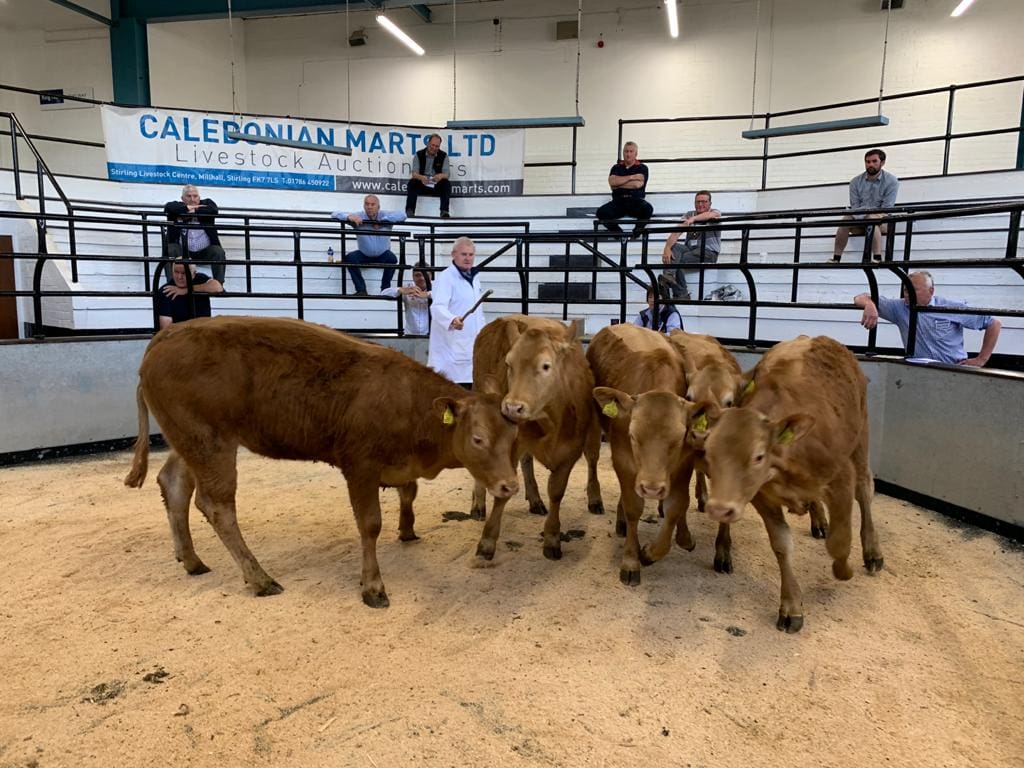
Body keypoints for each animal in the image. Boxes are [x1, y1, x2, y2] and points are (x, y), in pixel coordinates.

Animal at [124, 316, 519, 608]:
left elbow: (408, 492)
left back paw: (191, 560)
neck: (407, 400)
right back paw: (259, 578)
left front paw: (407, 530)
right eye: (478, 439)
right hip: (210, 443)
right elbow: (370, 524)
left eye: (514, 436)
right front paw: (373, 586)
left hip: (187, 440)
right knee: (216, 506)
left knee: (174, 485)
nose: (510, 485)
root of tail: (166, 336)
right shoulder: (360, 467)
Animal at [470, 314, 602, 562]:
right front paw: (487, 542)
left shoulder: (571, 451)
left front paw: (552, 538)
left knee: (591, 458)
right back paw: (478, 504)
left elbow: (557, 491)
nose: (512, 407)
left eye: (545, 366)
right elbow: (503, 491)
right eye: (508, 364)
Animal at [587, 323, 700, 585]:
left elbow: (676, 506)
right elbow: (633, 508)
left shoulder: (684, 464)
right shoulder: (623, 459)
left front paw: (650, 552)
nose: (651, 488)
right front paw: (631, 560)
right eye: (633, 436)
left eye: (678, 439)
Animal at [690, 335, 884, 633]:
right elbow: (782, 544)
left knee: (865, 490)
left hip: (861, 438)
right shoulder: (762, 497)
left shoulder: (841, 478)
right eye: (711, 453)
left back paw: (872, 552)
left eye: (758, 456)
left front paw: (844, 570)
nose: (719, 509)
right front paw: (791, 608)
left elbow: (840, 541)